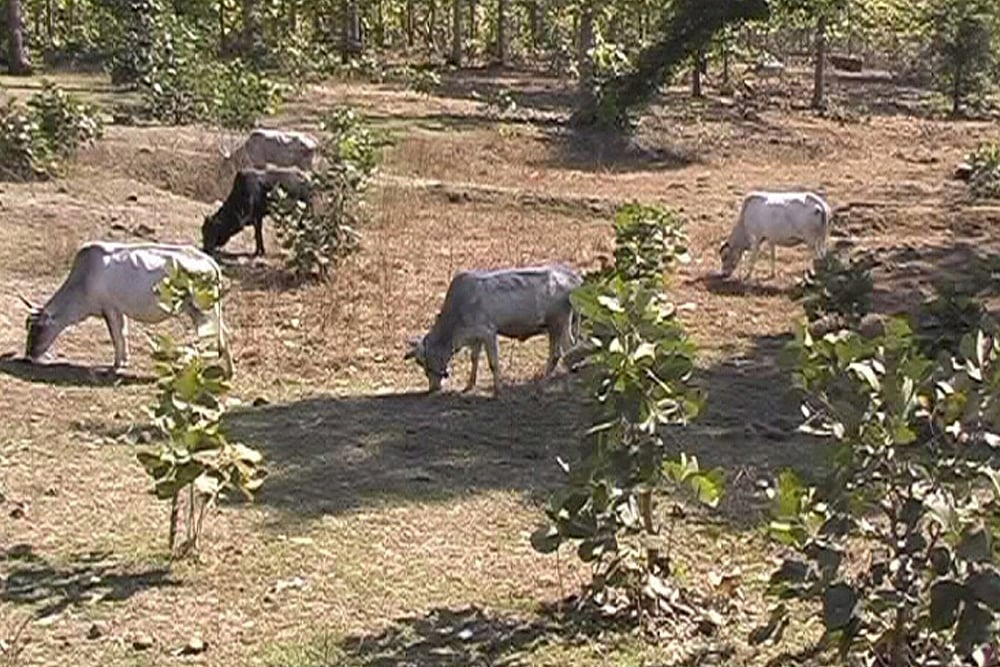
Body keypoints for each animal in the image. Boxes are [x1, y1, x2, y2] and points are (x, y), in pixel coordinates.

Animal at [20, 242, 232, 377]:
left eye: (38, 329)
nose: (28, 355)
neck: (83, 280)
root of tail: (210, 261)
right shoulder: (119, 311)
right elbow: (123, 334)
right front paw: (124, 360)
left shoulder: (110, 309)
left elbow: (116, 336)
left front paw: (116, 365)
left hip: (202, 309)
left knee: (217, 335)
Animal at [404, 264, 583, 395]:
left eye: (421, 361)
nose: (432, 388)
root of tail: (573, 277)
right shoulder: (476, 338)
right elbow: (474, 359)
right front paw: (469, 386)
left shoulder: (488, 333)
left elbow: (493, 363)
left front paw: (498, 390)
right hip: (556, 327)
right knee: (561, 353)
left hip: (560, 323)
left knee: (565, 352)